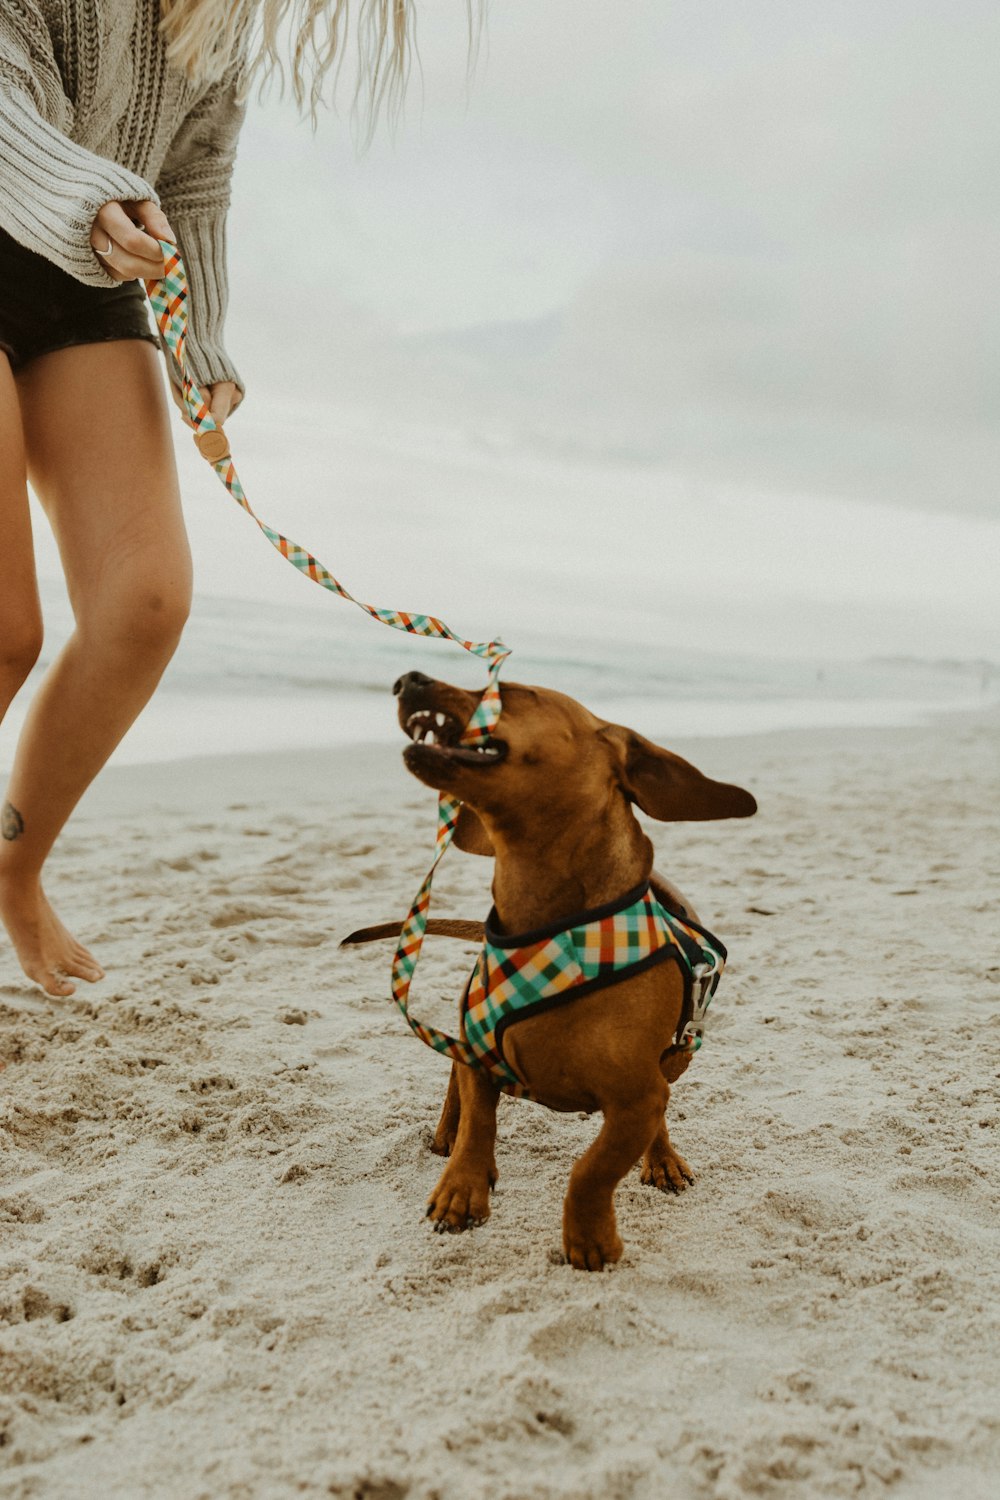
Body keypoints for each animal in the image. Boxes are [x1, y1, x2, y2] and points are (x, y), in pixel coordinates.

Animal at [340, 675, 755, 1272]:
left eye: (510, 689)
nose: (406, 680)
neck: (551, 928)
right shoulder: (479, 1049)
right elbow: (479, 1120)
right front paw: (462, 1187)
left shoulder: (639, 1098)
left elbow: (593, 1170)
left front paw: (589, 1239)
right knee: (455, 1083)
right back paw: (448, 1133)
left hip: (677, 1059)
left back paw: (663, 1159)